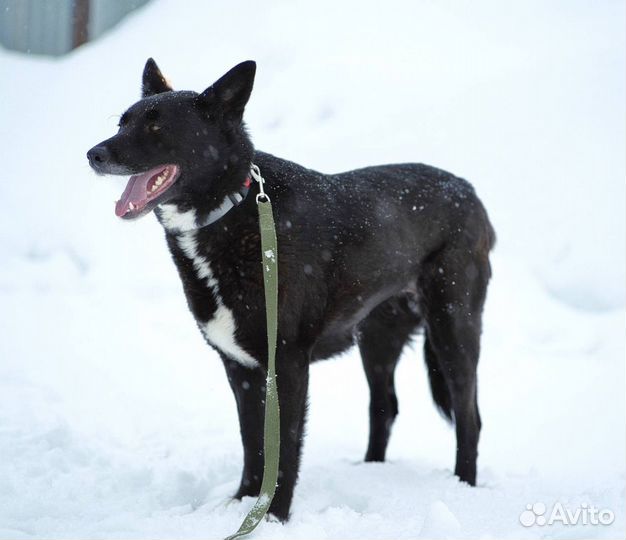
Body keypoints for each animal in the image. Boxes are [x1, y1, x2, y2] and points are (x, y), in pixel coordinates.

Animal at [88, 58, 494, 520]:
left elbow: (283, 448)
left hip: (453, 328)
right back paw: (370, 471)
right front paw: (240, 504)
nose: (93, 154)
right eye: (122, 123)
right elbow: (253, 445)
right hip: (377, 338)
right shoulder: (240, 369)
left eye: (157, 127)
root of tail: (468, 190)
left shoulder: (288, 364)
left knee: (469, 416)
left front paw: (273, 517)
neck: (233, 207)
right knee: (385, 406)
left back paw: (464, 487)